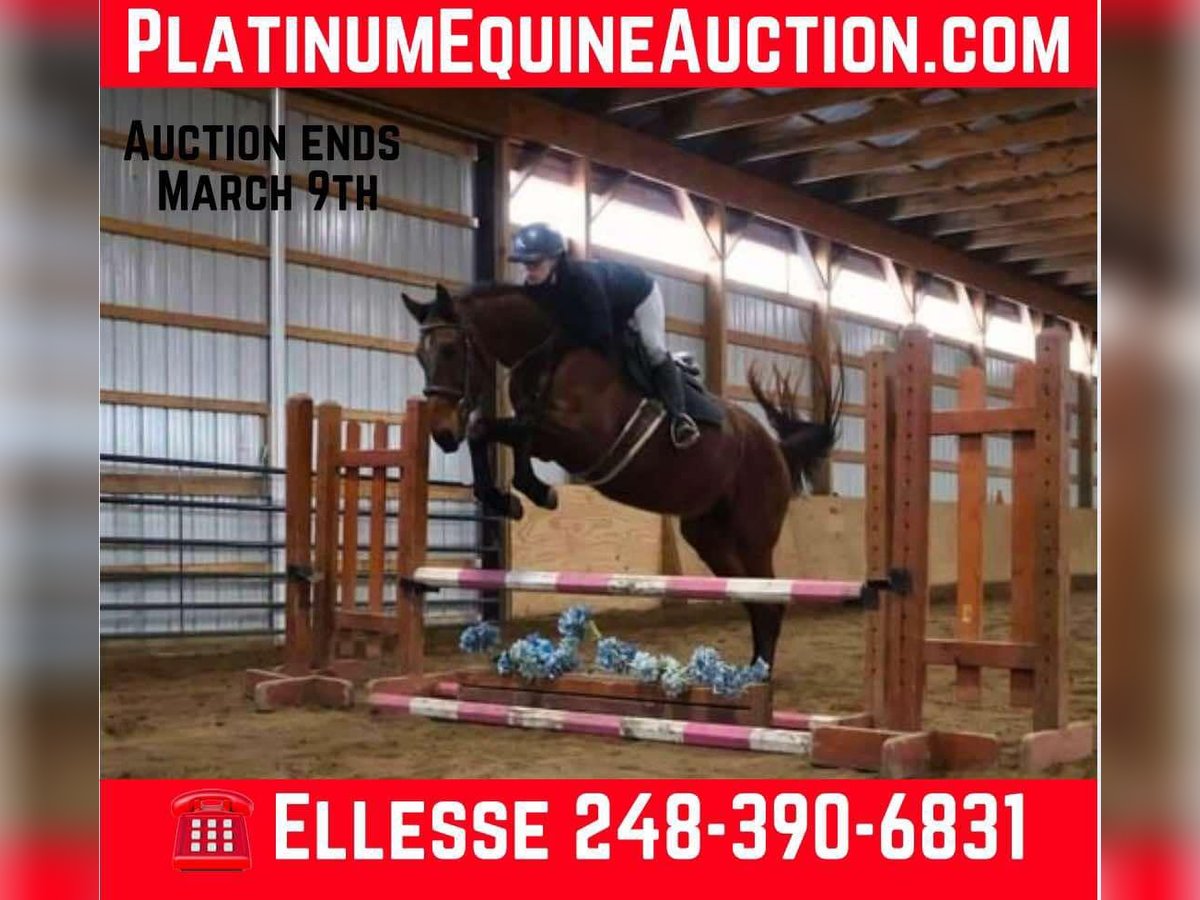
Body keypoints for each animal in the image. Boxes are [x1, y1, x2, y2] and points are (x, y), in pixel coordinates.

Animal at [402, 283, 843, 670]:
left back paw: (759, 676)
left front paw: (537, 491)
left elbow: (512, 428)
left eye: (450, 349)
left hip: (753, 535)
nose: (442, 433)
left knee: (770, 599)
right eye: (419, 356)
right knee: (753, 597)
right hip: (708, 536)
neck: (549, 353)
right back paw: (753, 673)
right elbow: (490, 430)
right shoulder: (546, 434)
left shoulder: (580, 440)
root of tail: (778, 450)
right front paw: (509, 498)